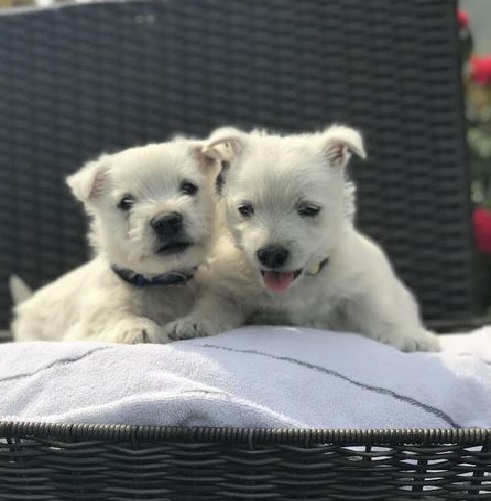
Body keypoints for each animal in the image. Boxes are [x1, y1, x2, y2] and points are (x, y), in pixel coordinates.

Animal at [11, 141, 221, 344]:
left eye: (189, 187)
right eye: (125, 202)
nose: (167, 221)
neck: (161, 281)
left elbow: (209, 309)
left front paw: (192, 322)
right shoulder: (88, 323)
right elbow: (113, 318)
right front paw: (139, 328)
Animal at [163, 125, 440, 352]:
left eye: (309, 210)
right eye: (245, 209)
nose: (271, 255)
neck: (297, 287)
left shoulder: (360, 286)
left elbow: (380, 310)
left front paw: (409, 335)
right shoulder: (229, 291)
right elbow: (213, 305)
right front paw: (192, 322)